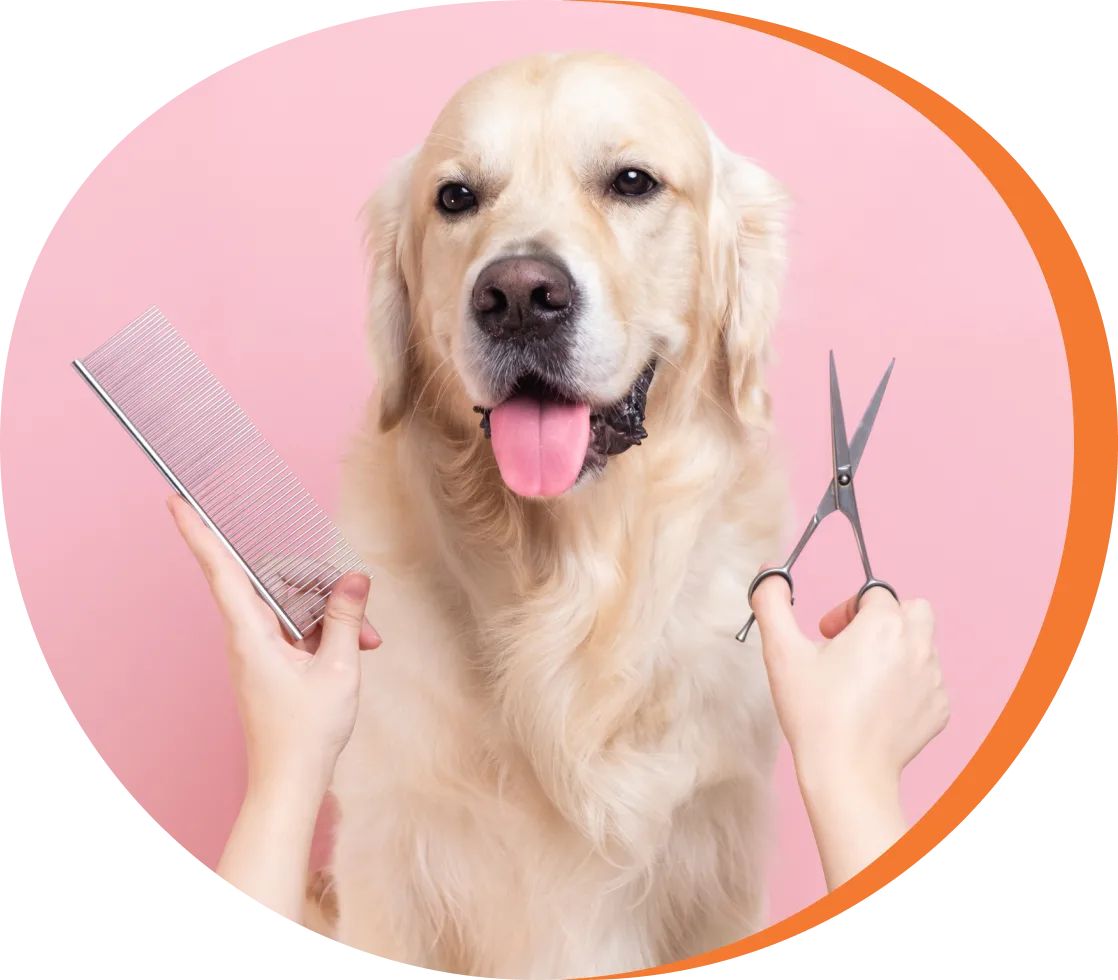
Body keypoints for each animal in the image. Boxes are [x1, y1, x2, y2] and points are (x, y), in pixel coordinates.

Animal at [310, 53, 791, 978]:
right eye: (456, 196)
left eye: (633, 182)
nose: (519, 295)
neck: (567, 589)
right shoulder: (390, 854)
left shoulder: (716, 855)